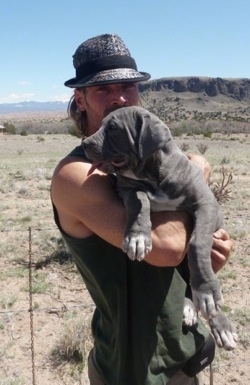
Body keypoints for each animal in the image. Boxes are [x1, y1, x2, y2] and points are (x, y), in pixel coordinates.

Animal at [82, 105, 238, 348]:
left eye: (113, 128)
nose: (84, 143)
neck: (152, 175)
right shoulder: (127, 188)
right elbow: (139, 201)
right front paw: (137, 238)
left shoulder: (207, 204)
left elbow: (198, 243)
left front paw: (207, 291)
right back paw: (188, 307)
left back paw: (220, 324)